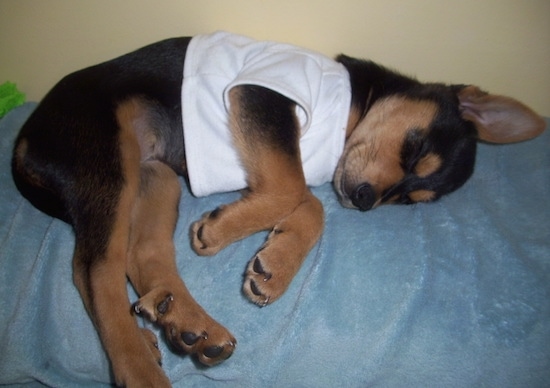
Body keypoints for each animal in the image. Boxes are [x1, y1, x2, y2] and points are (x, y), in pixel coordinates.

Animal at [10, 31, 544, 386]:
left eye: (407, 199)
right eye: (414, 151)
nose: (366, 201)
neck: (354, 105)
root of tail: (24, 140)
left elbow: (309, 202)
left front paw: (276, 264)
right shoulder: (267, 96)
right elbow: (295, 190)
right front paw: (225, 231)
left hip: (154, 178)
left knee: (139, 254)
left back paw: (185, 323)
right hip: (107, 163)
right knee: (93, 271)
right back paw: (138, 366)